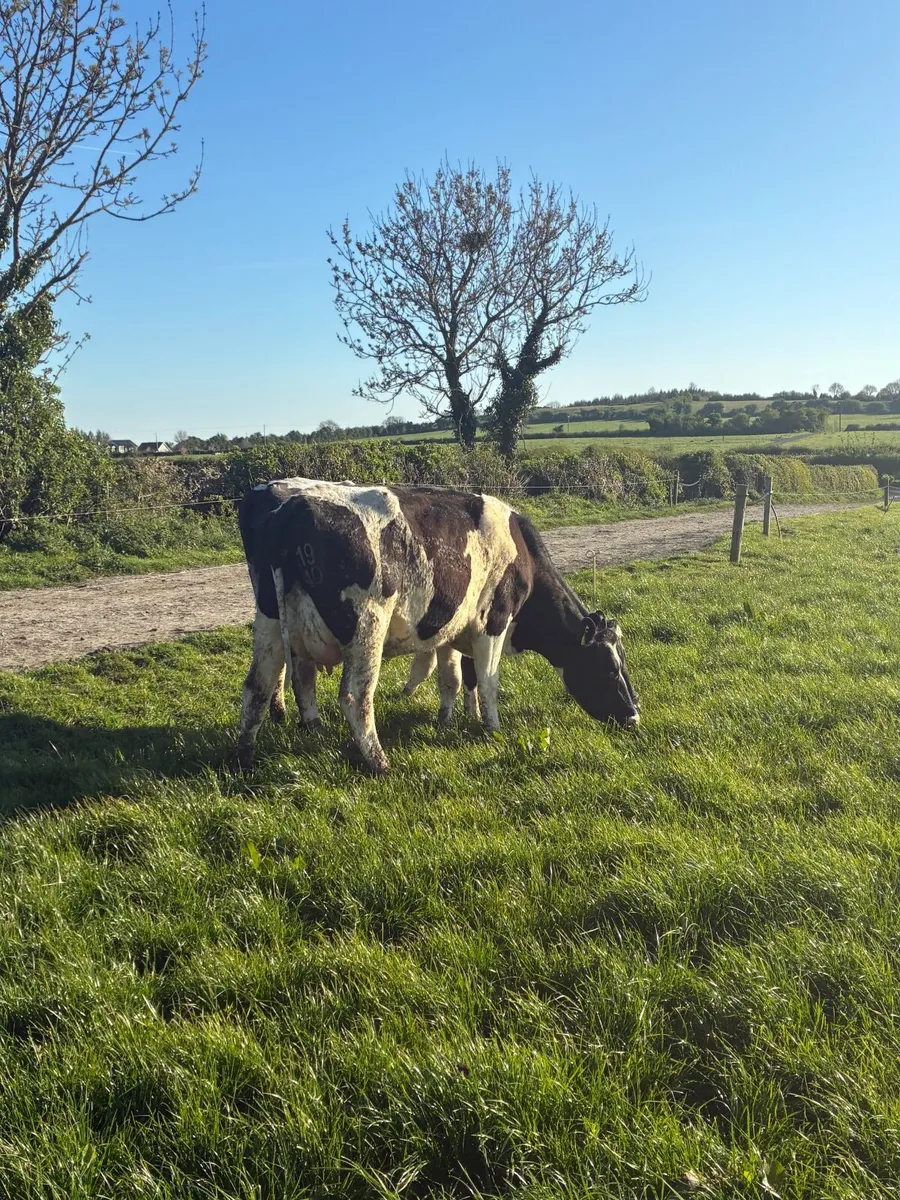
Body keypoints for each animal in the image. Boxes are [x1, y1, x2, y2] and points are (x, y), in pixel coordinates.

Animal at [234, 478, 639, 774]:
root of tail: (293, 507)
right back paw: (379, 763)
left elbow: (455, 678)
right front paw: (491, 728)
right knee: (354, 696)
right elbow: (488, 681)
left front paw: (450, 719)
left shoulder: (450, 625)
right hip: (367, 626)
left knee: (262, 686)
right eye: (609, 667)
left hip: (270, 621)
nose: (634, 716)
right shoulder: (493, 622)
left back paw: (250, 755)